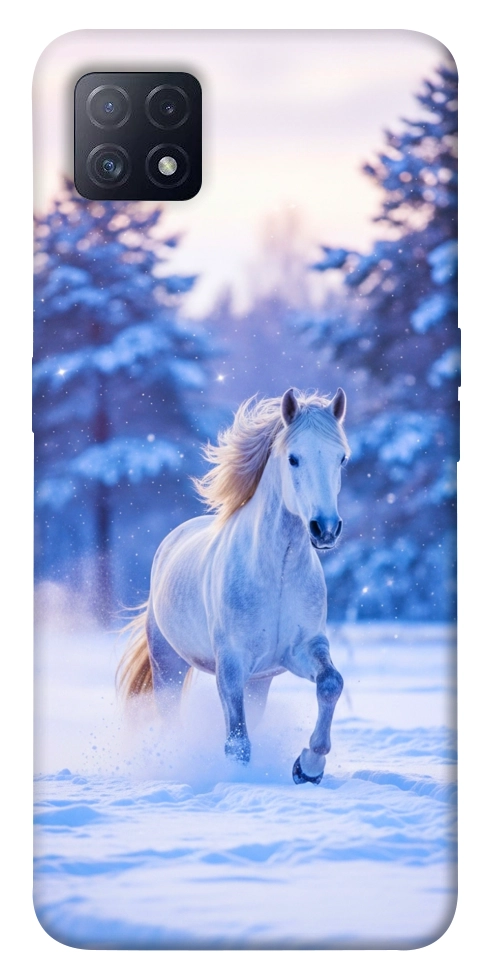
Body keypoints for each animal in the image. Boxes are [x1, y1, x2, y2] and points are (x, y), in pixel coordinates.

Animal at [118, 387, 350, 784]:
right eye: (294, 458)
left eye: (341, 459)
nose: (325, 529)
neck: (277, 573)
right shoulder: (231, 664)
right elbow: (237, 742)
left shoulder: (302, 649)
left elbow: (331, 683)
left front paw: (308, 767)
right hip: (168, 665)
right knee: (170, 717)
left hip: (259, 682)